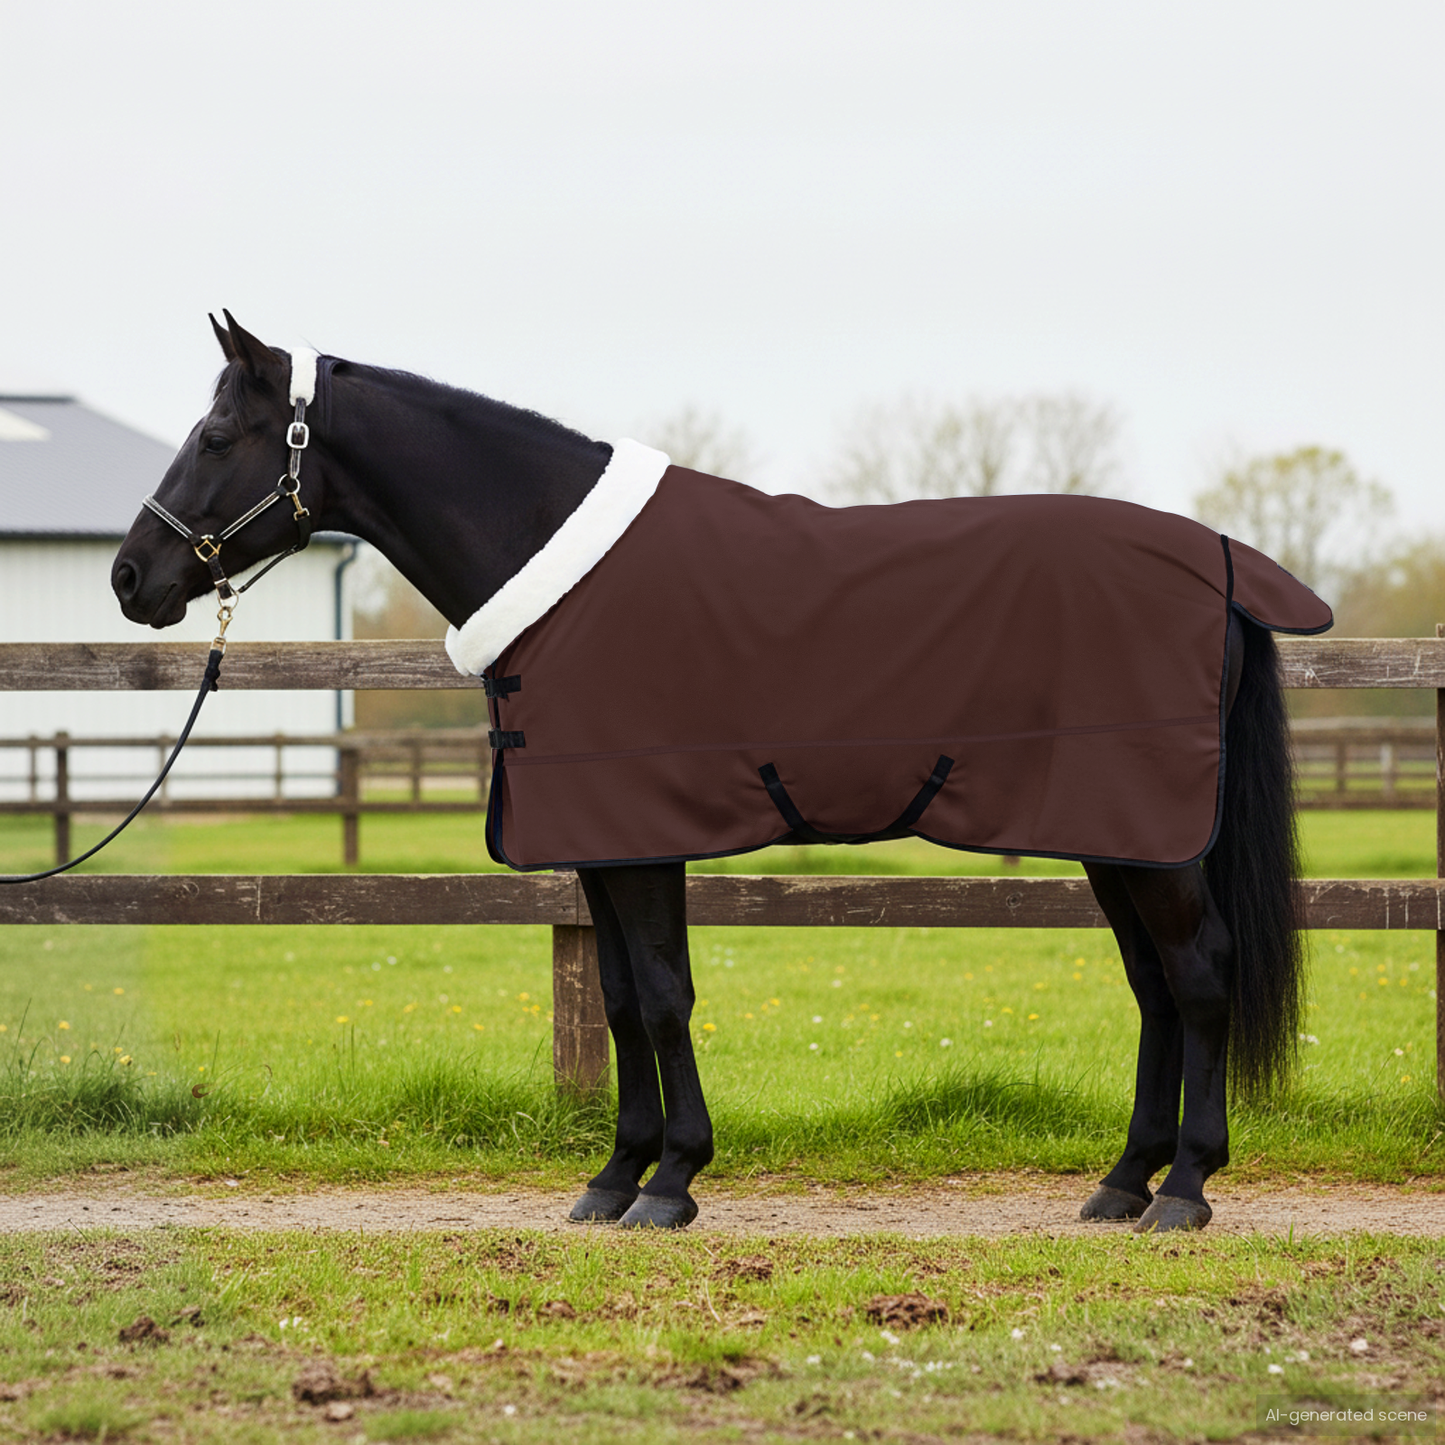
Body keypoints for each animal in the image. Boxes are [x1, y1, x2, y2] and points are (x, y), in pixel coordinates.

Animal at [113, 313, 1322, 1234]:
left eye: (215, 434)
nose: (131, 576)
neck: (556, 568)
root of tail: (1220, 563)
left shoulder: (641, 836)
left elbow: (659, 996)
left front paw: (672, 1180)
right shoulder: (600, 844)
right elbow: (616, 1000)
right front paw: (615, 1176)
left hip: (1149, 837)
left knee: (1198, 972)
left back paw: (1184, 1187)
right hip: (1115, 832)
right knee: (1153, 984)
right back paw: (1122, 1182)